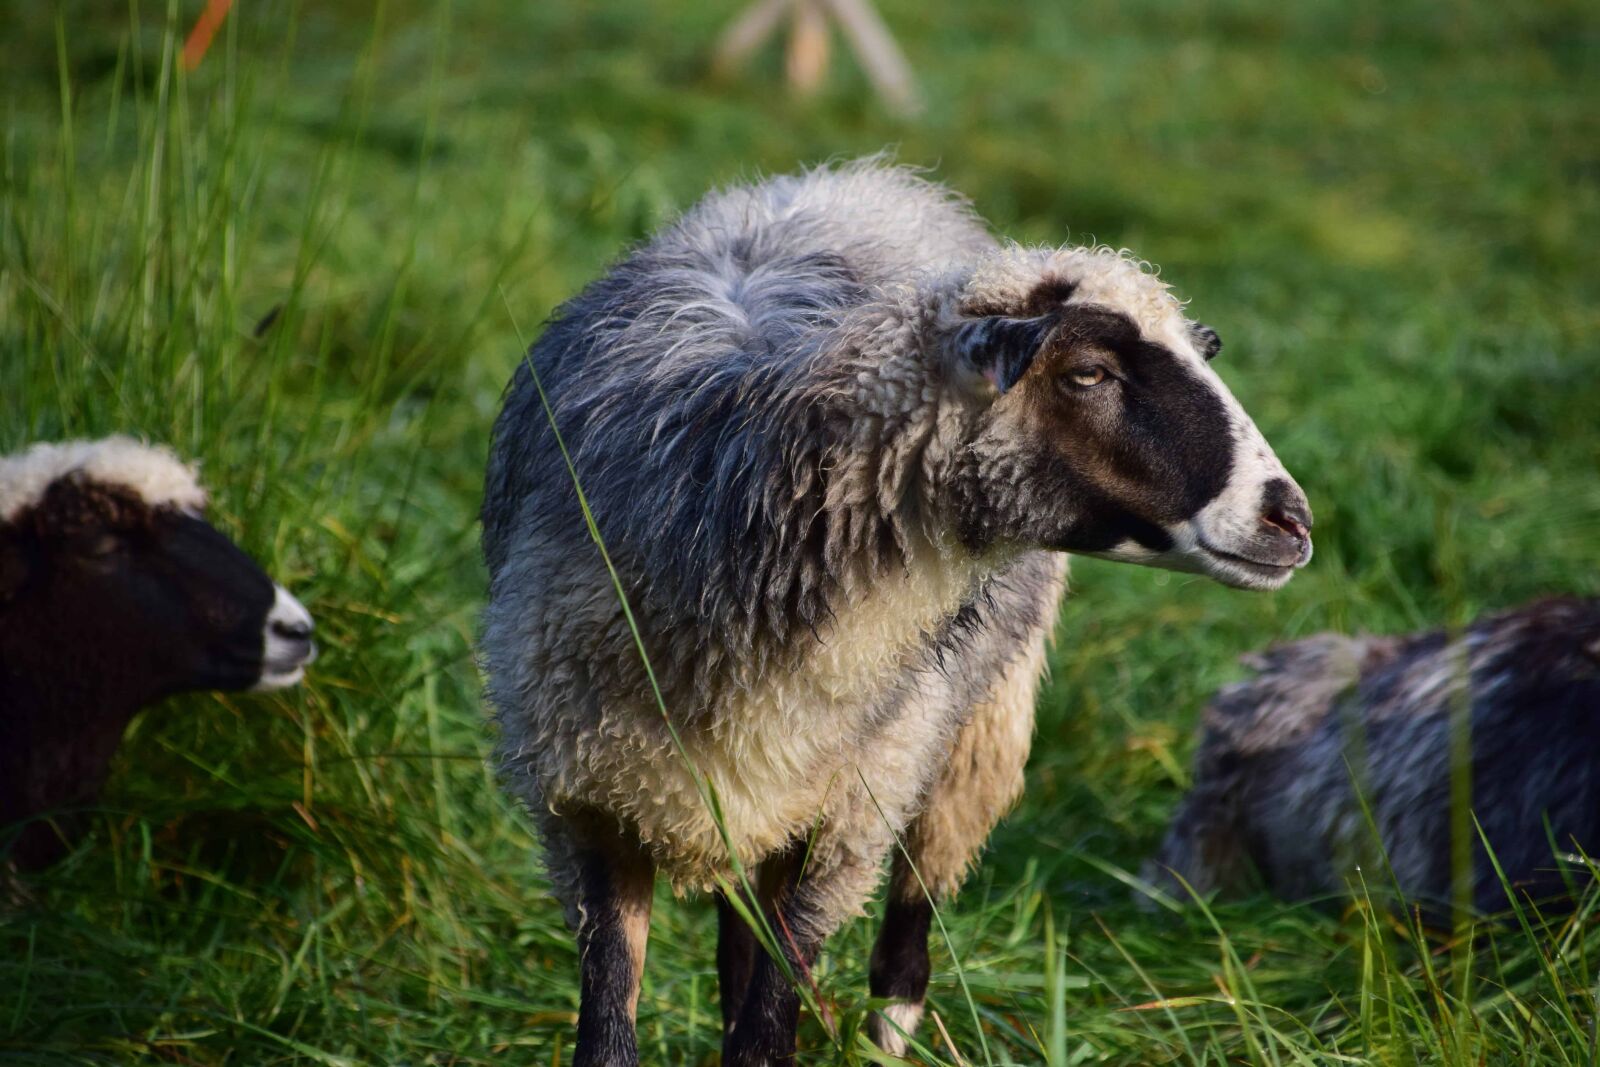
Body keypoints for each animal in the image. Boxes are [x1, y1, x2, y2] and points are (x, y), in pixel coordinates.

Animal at [480, 160, 1312, 1066]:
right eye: (1089, 371)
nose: (1292, 519)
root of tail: (861, 177)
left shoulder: (844, 825)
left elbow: (769, 1026)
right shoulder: (587, 802)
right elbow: (615, 1029)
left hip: (964, 739)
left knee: (905, 946)